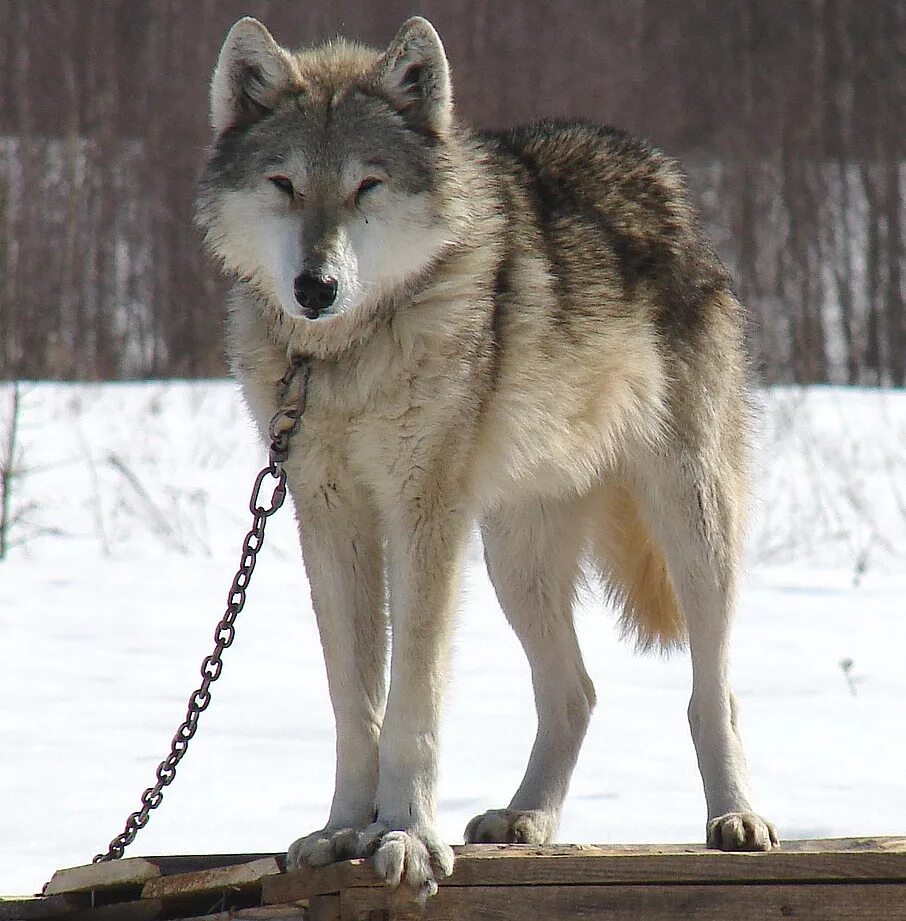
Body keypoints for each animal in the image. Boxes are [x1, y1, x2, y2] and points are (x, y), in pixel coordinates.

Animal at [198, 14, 776, 900]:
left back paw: (736, 819)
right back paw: (525, 818)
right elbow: (354, 701)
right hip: (514, 558)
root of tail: (654, 172)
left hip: (693, 527)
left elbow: (415, 701)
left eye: (368, 186)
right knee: (575, 692)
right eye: (284, 184)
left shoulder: (424, 514)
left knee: (713, 692)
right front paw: (341, 830)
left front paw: (406, 835)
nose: (314, 287)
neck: (344, 356)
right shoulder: (329, 516)